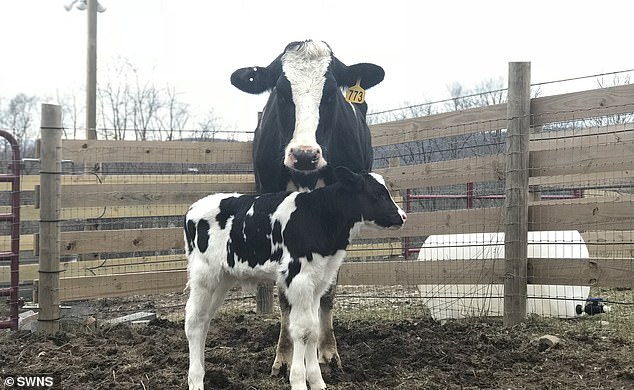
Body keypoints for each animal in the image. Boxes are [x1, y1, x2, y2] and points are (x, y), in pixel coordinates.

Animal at [183, 168, 404, 390]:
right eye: (378, 194)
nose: (402, 216)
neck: (319, 215)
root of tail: (192, 208)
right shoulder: (298, 278)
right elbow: (302, 330)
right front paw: (298, 380)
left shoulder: (318, 281)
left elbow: (313, 329)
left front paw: (317, 382)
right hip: (204, 275)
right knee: (194, 321)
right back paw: (196, 379)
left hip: (223, 278)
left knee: (205, 320)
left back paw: (201, 371)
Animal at [230, 39, 382, 374]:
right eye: (281, 91)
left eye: (331, 92)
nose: (304, 154)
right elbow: (285, 295)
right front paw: (285, 355)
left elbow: (328, 291)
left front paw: (328, 351)